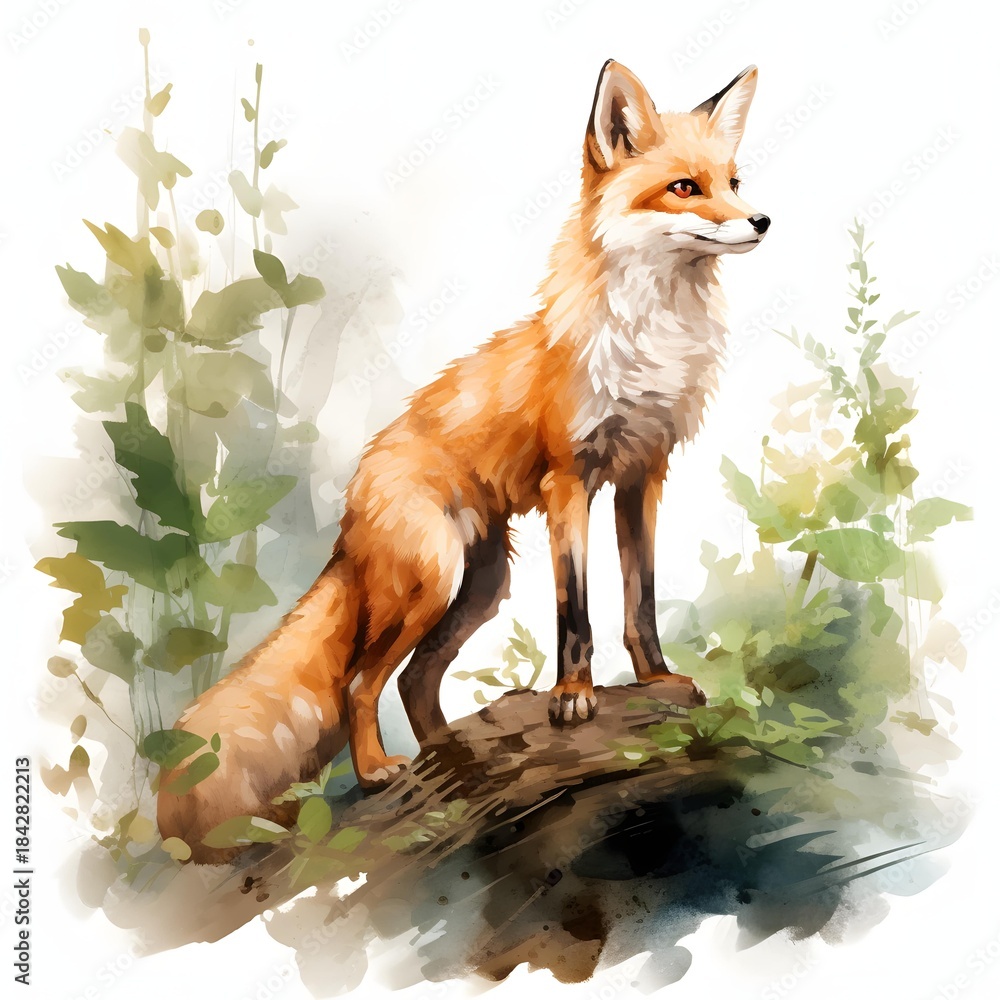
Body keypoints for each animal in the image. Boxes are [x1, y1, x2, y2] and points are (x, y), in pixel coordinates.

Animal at [156, 60, 770, 862]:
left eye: (734, 180)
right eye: (685, 188)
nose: (761, 221)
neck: (652, 340)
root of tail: (352, 503)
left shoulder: (642, 475)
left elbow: (640, 602)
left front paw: (657, 680)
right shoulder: (570, 479)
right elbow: (575, 609)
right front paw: (574, 697)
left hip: (479, 587)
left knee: (415, 682)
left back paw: (456, 762)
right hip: (431, 578)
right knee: (359, 684)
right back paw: (381, 771)